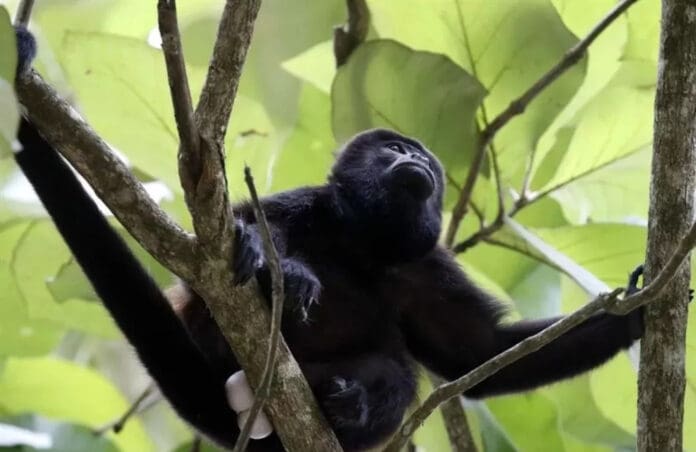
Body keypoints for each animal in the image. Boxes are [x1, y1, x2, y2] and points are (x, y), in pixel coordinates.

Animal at [12, 26, 644, 451]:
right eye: (394, 147)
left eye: (425, 161)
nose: (418, 158)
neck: (363, 242)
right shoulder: (309, 201)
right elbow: (230, 226)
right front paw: (272, 261)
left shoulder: (427, 268)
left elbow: (476, 350)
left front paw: (636, 314)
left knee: (398, 370)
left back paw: (349, 406)